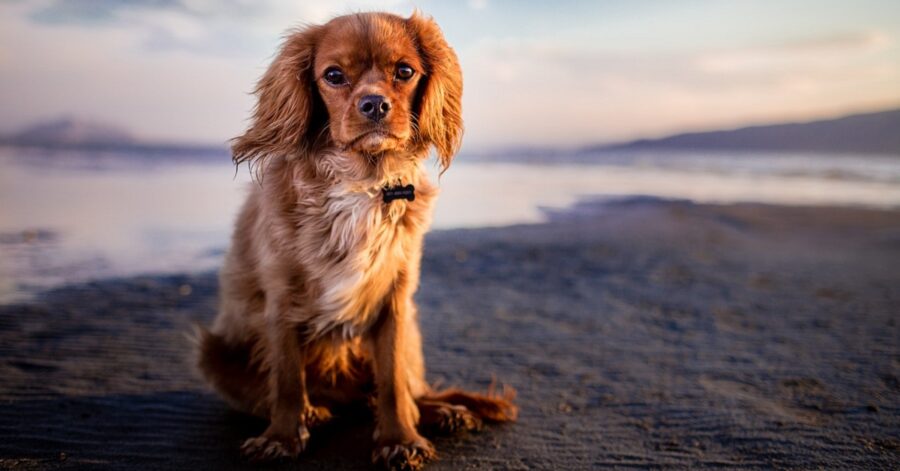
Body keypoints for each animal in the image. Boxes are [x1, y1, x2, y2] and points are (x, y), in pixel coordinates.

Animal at [198, 12, 516, 471]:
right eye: (333, 75)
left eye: (405, 71)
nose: (374, 104)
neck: (362, 183)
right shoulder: (281, 300)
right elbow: (288, 380)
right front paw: (281, 437)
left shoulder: (395, 299)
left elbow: (393, 383)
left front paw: (400, 439)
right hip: (214, 353)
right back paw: (315, 411)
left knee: (406, 391)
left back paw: (443, 411)